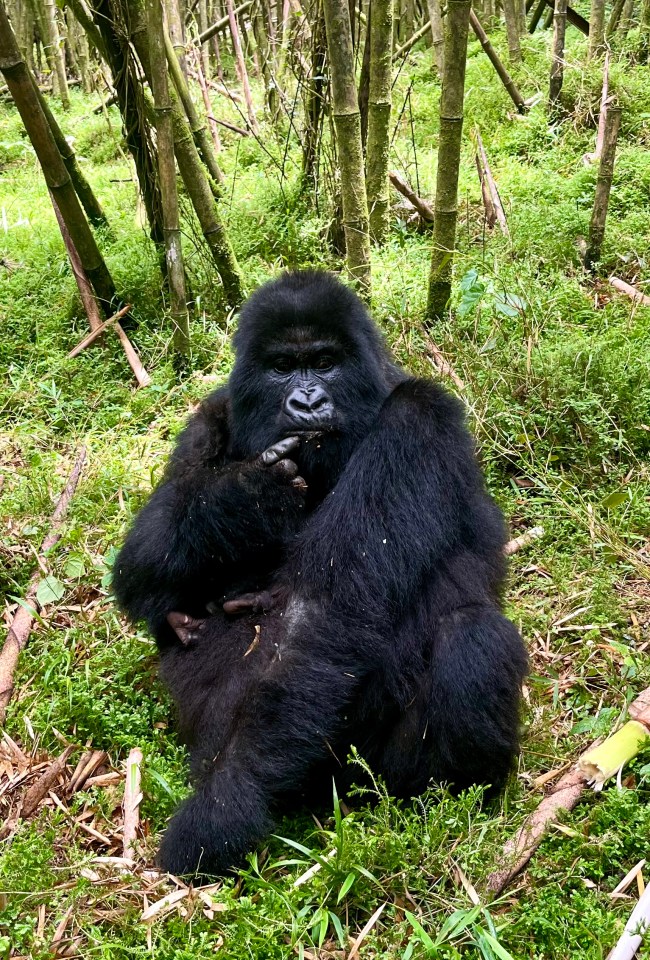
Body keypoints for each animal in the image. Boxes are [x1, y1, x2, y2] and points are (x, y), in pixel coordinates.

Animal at [111, 270, 528, 876]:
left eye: (326, 362)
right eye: (284, 367)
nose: (307, 401)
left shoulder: (420, 418)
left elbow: (327, 609)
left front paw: (226, 805)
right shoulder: (211, 416)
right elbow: (140, 566)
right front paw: (244, 499)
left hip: (375, 777)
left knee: (473, 635)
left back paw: (456, 797)